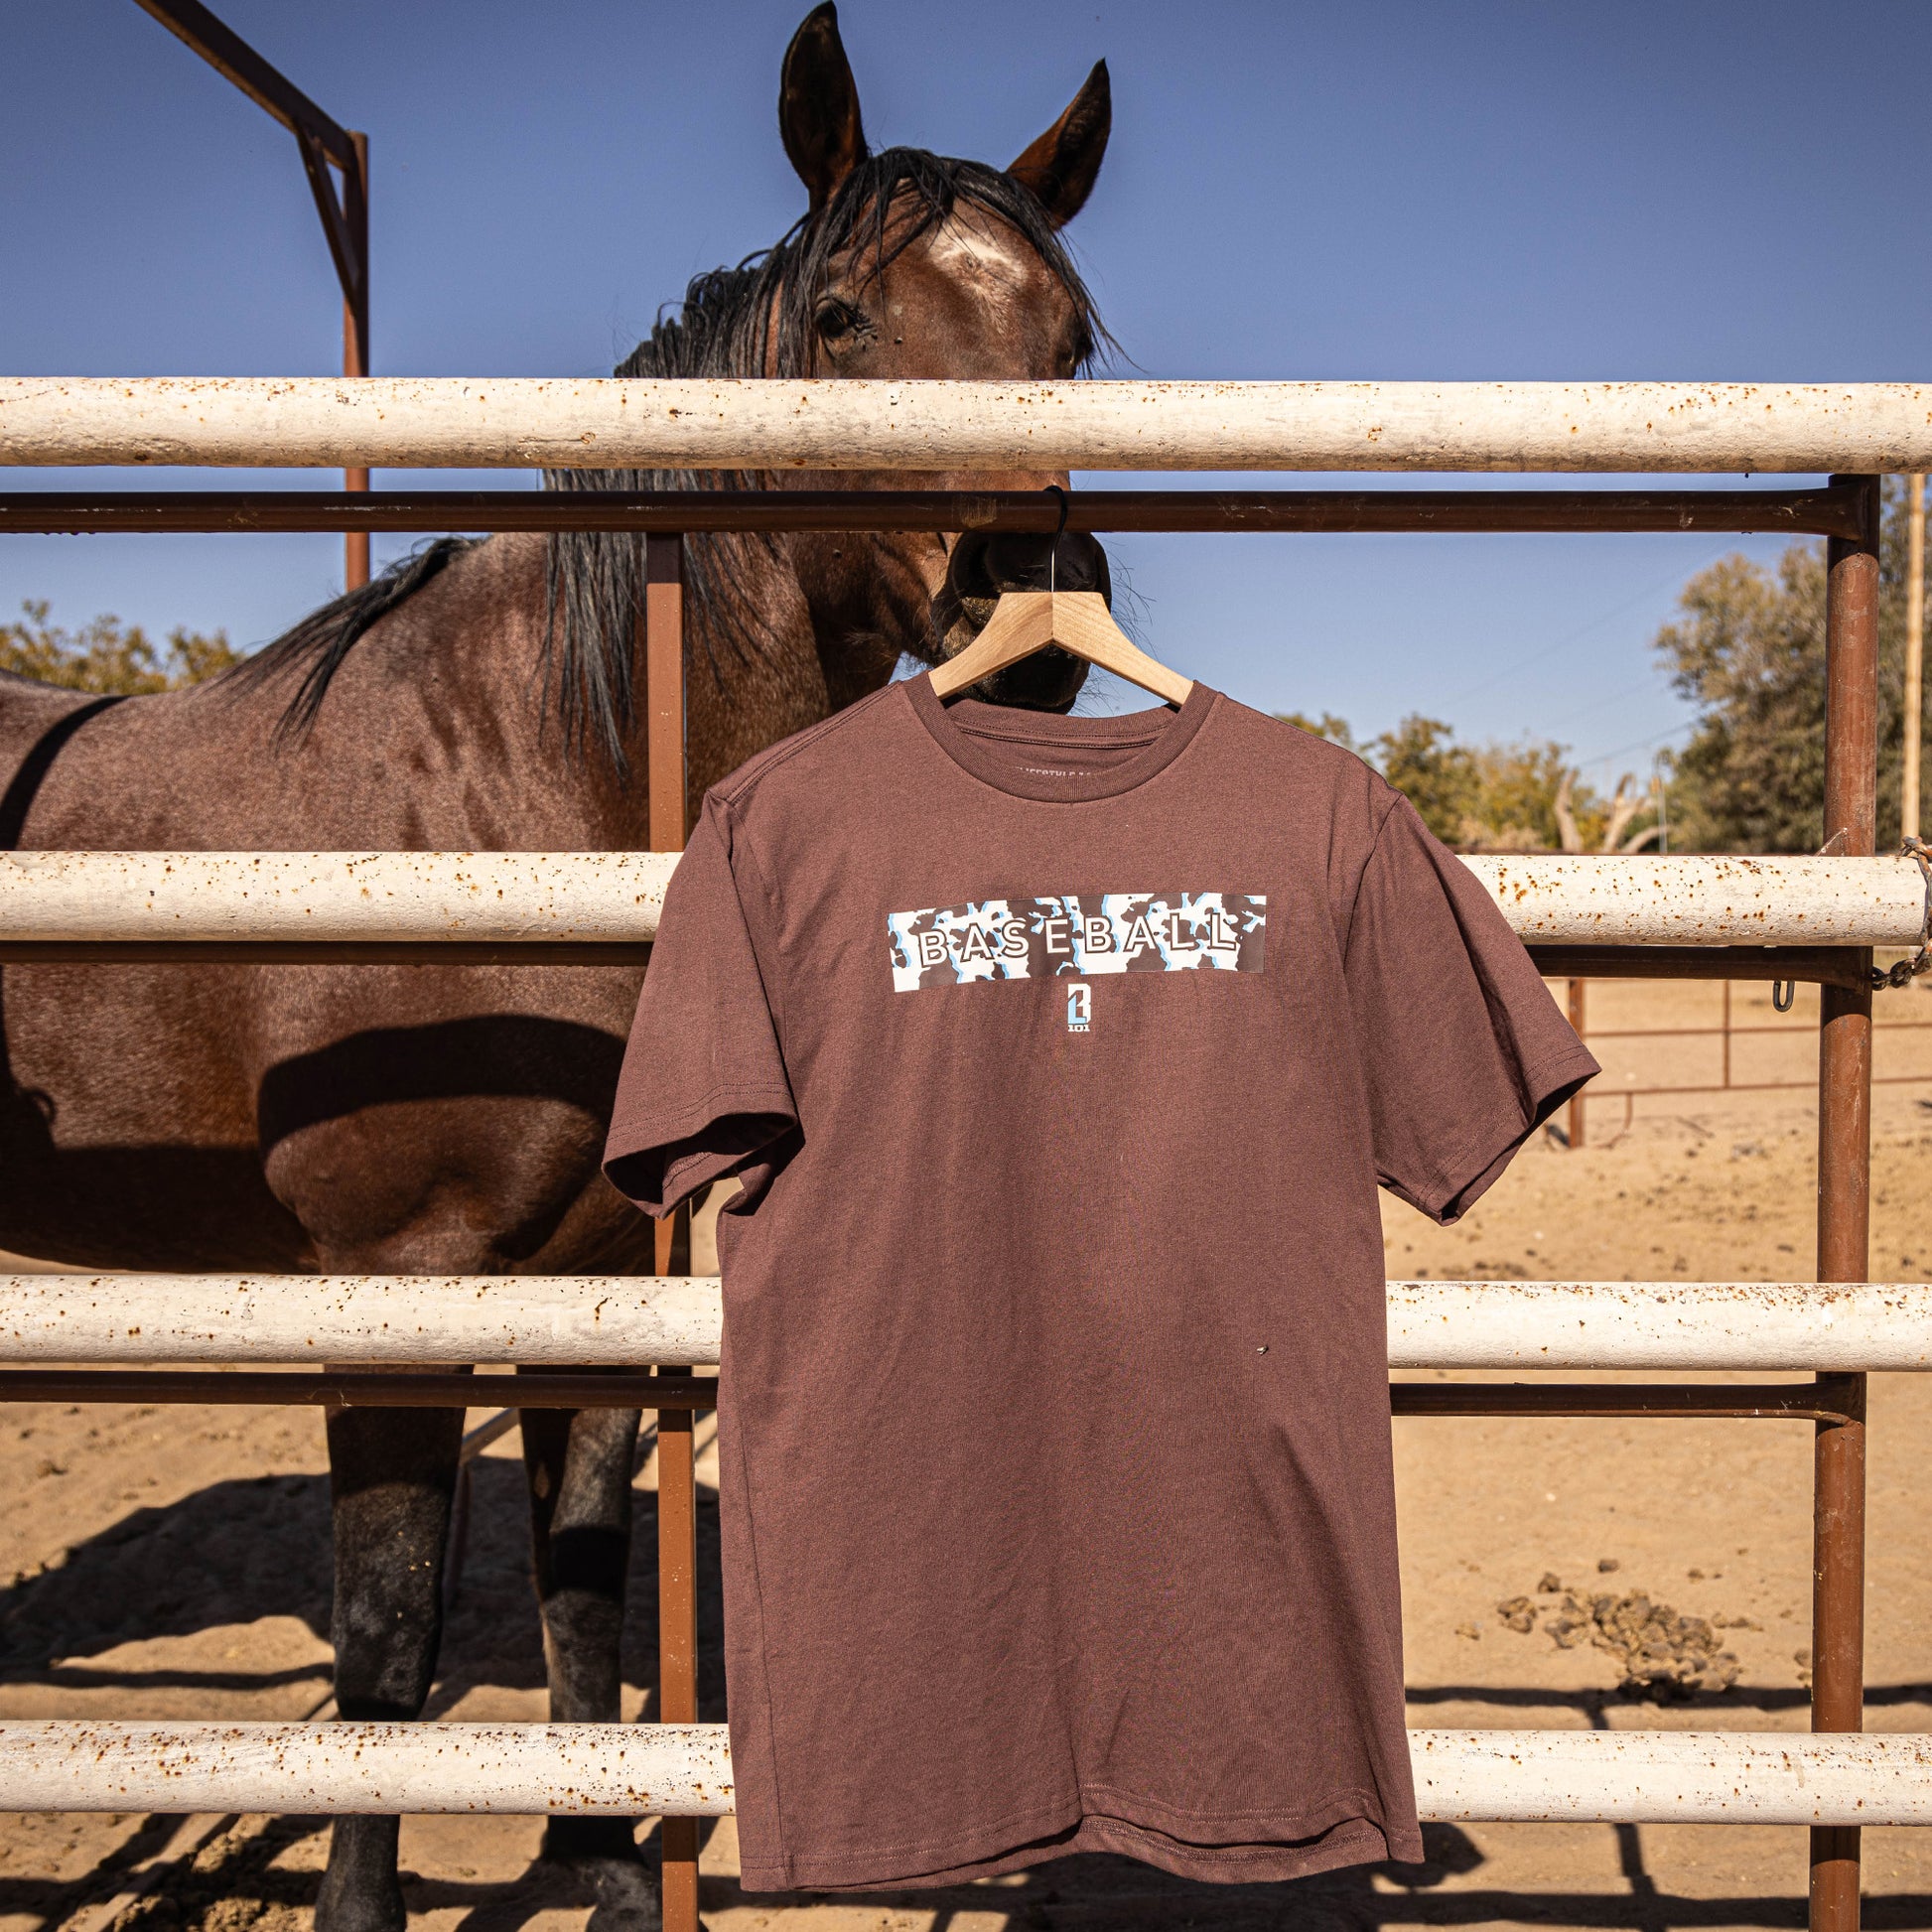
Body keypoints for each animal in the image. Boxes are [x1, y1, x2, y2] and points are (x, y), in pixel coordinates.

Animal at [0, 6, 1113, 1927]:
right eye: (842, 323)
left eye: (1069, 339)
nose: (1031, 606)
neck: (512, 788)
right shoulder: (392, 1289)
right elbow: (384, 1658)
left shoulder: (594, 1274)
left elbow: (584, 1589)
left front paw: (596, 1862)